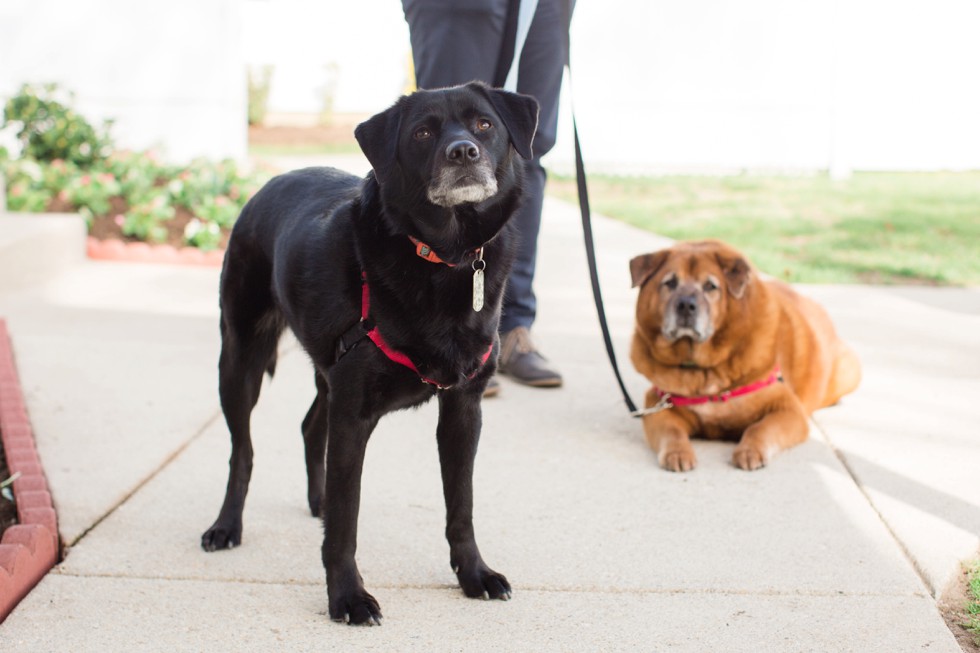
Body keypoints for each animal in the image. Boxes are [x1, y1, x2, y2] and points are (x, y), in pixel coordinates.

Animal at [199, 83, 536, 628]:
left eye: (484, 124)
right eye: (422, 133)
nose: (463, 152)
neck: (445, 258)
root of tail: (271, 181)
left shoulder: (462, 409)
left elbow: (460, 506)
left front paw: (474, 575)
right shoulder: (354, 412)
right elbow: (346, 521)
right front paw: (348, 597)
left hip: (328, 370)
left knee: (310, 426)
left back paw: (316, 501)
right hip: (241, 357)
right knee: (242, 450)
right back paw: (227, 526)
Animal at [628, 238, 856, 468]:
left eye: (710, 286)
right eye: (670, 283)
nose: (685, 305)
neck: (705, 372)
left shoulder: (788, 408)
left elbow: (759, 427)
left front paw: (749, 451)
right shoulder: (657, 405)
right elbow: (672, 431)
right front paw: (677, 453)